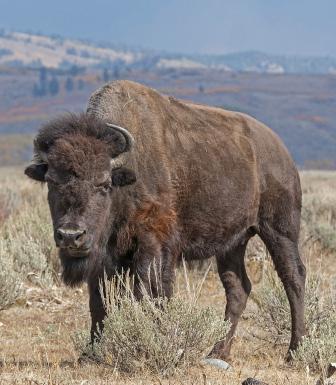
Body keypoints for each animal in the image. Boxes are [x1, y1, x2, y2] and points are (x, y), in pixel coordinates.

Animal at [25, 79, 306, 358]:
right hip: (233, 242)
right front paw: (92, 352)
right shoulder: (104, 255)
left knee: (293, 277)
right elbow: (100, 300)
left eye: (103, 184)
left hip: (279, 230)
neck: (127, 173)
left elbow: (151, 294)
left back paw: (294, 350)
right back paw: (217, 352)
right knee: (237, 287)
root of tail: (281, 150)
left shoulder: (154, 245)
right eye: (51, 181)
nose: (71, 235)